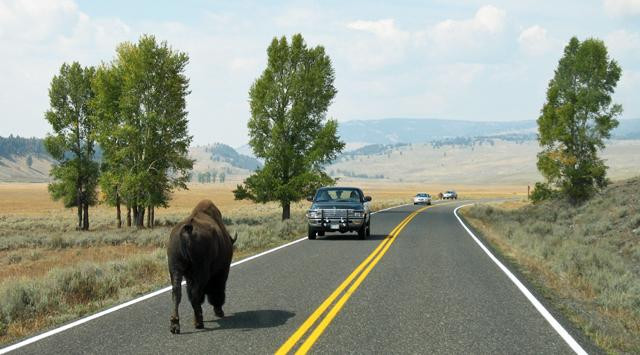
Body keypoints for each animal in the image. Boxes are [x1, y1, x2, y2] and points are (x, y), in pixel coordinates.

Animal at [168, 200, 238, 334]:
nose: (219, 312)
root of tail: (187, 230)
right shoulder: (222, 271)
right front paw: (219, 311)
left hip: (175, 269)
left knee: (177, 293)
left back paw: (175, 325)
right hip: (200, 272)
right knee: (195, 293)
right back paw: (198, 322)